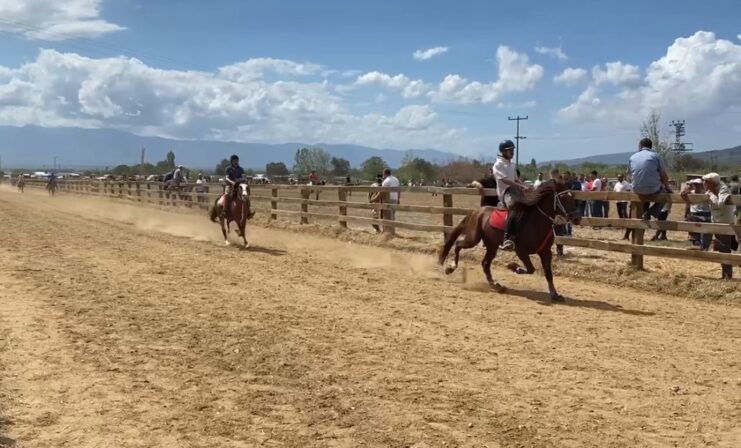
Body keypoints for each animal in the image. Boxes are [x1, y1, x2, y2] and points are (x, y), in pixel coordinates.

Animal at [436, 179, 580, 300]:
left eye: (573, 197)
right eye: (563, 197)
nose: (577, 218)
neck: (537, 222)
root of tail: (477, 212)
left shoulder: (546, 252)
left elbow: (548, 273)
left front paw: (554, 294)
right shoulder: (521, 251)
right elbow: (531, 269)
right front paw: (513, 267)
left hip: (492, 246)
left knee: (485, 263)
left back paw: (496, 285)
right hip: (473, 239)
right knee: (458, 245)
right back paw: (451, 267)